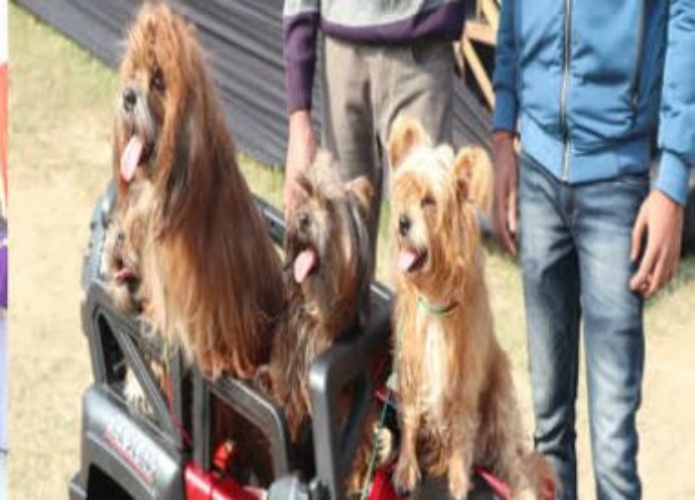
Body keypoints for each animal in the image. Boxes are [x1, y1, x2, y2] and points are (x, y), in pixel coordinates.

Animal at [386, 115, 556, 498]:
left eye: (429, 201)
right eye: (404, 189)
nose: (402, 222)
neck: (435, 296)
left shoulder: (464, 378)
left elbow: (462, 433)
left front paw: (459, 481)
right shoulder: (412, 365)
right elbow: (410, 418)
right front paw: (406, 467)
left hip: (502, 393)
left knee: (513, 463)